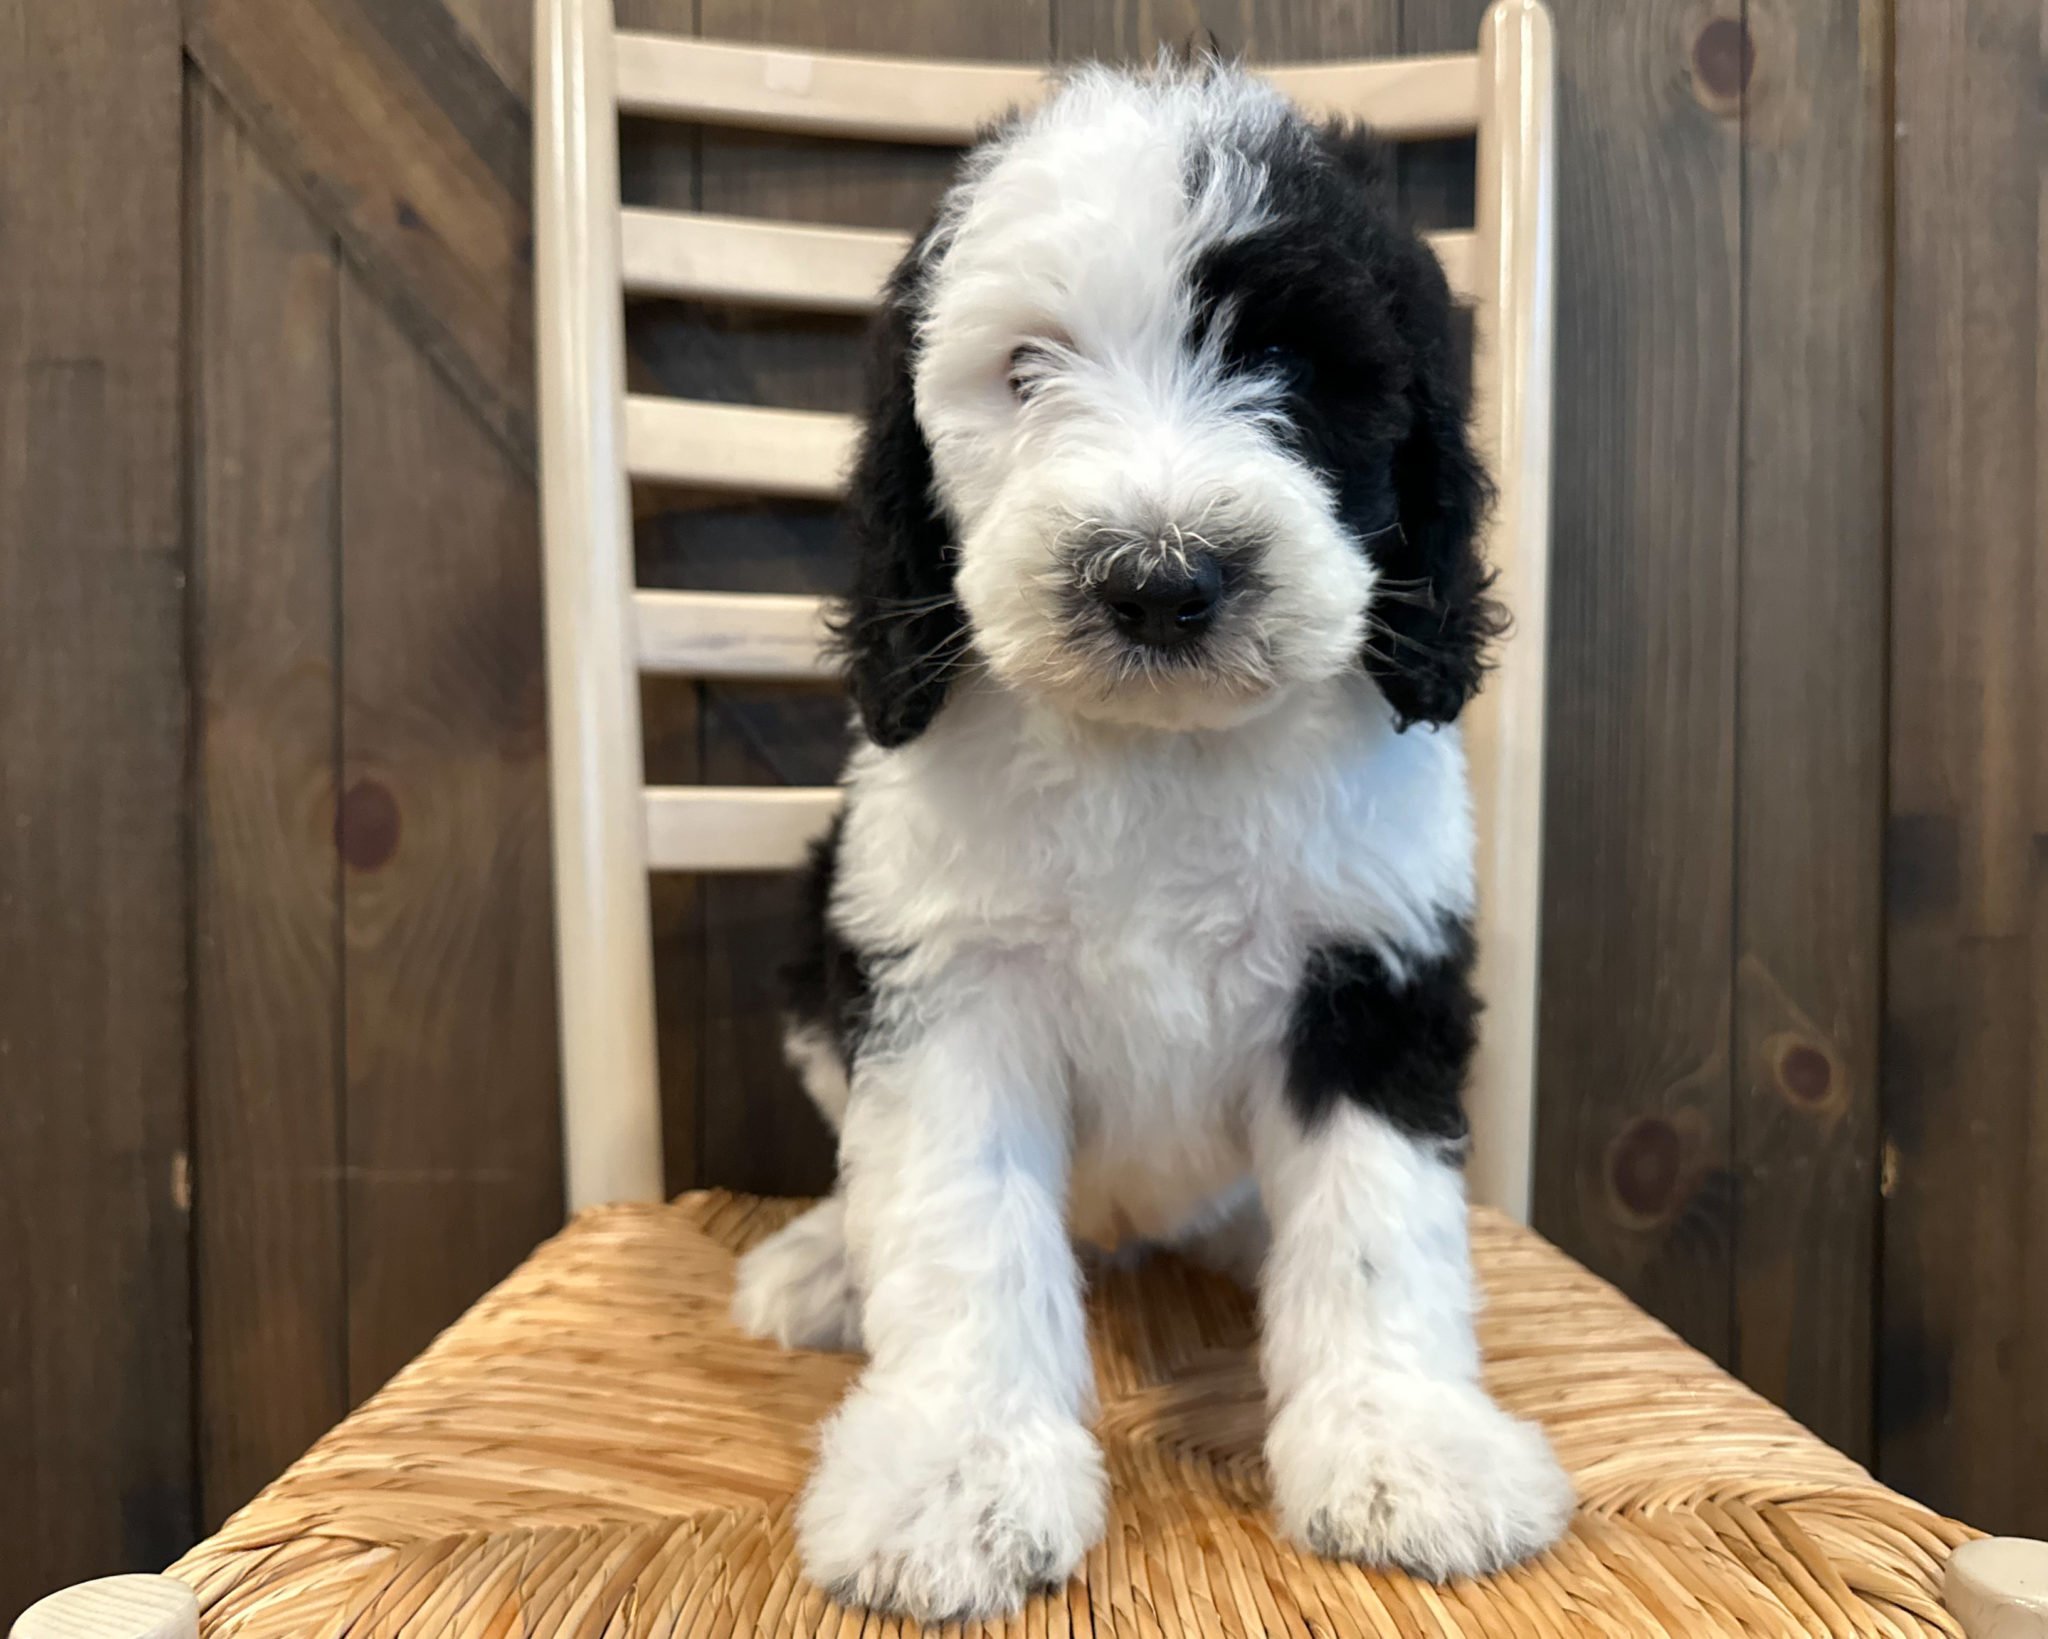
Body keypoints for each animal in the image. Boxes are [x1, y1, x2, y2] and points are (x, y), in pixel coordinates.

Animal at [729, 54, 1572, 1622]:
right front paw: (956, 1474)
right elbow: (959, 1223)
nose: (1161, 580)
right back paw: (824, 1266)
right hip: (821, 955)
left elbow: (1376, 1222)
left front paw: (1405, 1445)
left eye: (1292, 365)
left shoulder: (1374, 971)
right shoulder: (944, 979)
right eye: (1024, 369)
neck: (1159, 752)